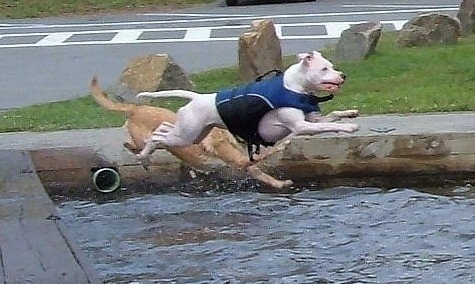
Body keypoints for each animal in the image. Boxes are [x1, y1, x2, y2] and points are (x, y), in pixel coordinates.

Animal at [89, 76, 290, 190]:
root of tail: (135, 108)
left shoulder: (247, 165)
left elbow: (264, 176)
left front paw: (281, 184)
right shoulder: (241, 161)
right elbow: (264, 155)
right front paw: (284, 144)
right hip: (147, 139)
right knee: (134, 145)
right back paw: (144, 158)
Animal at [139, 52, 358, 161]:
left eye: (331, 66)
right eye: (324, 69)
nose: (343, 75)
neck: (295, 87)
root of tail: (197, 97)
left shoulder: (312, 119)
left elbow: (331, 116)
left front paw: (349, 113)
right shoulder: (302, 126)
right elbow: (327, 126)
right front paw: (348, 127)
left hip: (194, 133)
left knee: (163, 127)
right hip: (185, 135)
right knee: (157, 136)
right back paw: (143, 152)